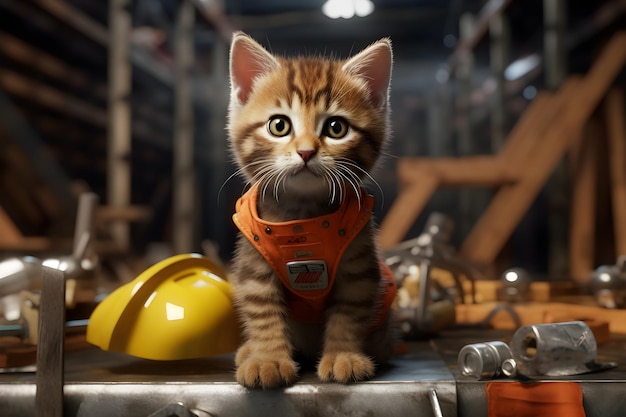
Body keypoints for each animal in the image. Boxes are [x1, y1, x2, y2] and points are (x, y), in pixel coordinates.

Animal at [227, 31, 392, 386]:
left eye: (336, 128)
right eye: (278, 126)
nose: (305, 152)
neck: (303, 220)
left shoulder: (358, 268)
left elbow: (348, 312)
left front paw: (344, 356)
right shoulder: (254, 265)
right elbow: (262, 312)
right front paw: (268, 359)